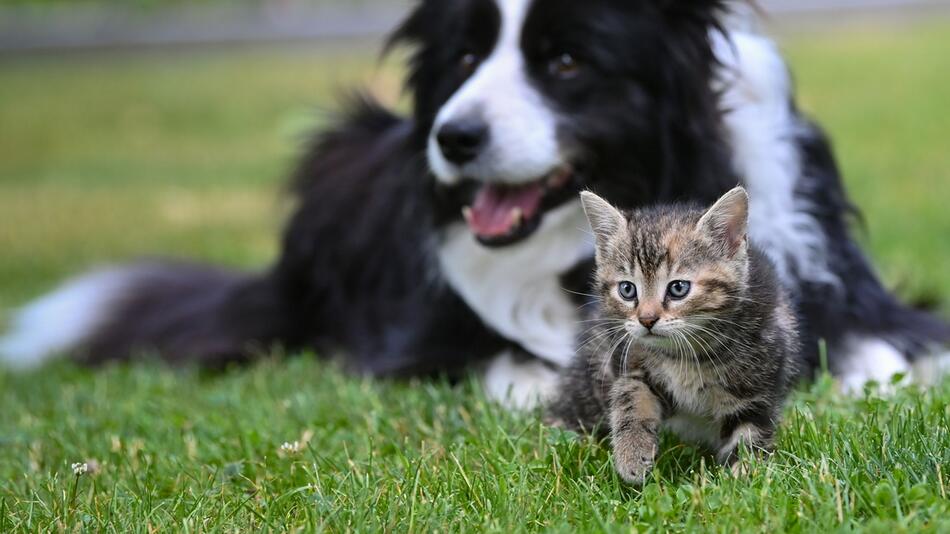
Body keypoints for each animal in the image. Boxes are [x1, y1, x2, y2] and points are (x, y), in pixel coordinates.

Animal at [3, 0, 948, 406]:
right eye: (462, 56)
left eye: (565, 60)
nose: (451, 138)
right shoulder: (421, 340)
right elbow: (515, 362)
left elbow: (889, 351)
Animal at [552, 188, 804, 486]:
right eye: (627, 289)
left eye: (678, 288)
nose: (646, 320)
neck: (689, 352)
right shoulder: (630, 361)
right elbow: (631, 397)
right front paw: (631, 453)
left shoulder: (756, 389)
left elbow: (749, 435)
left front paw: (743, 480)